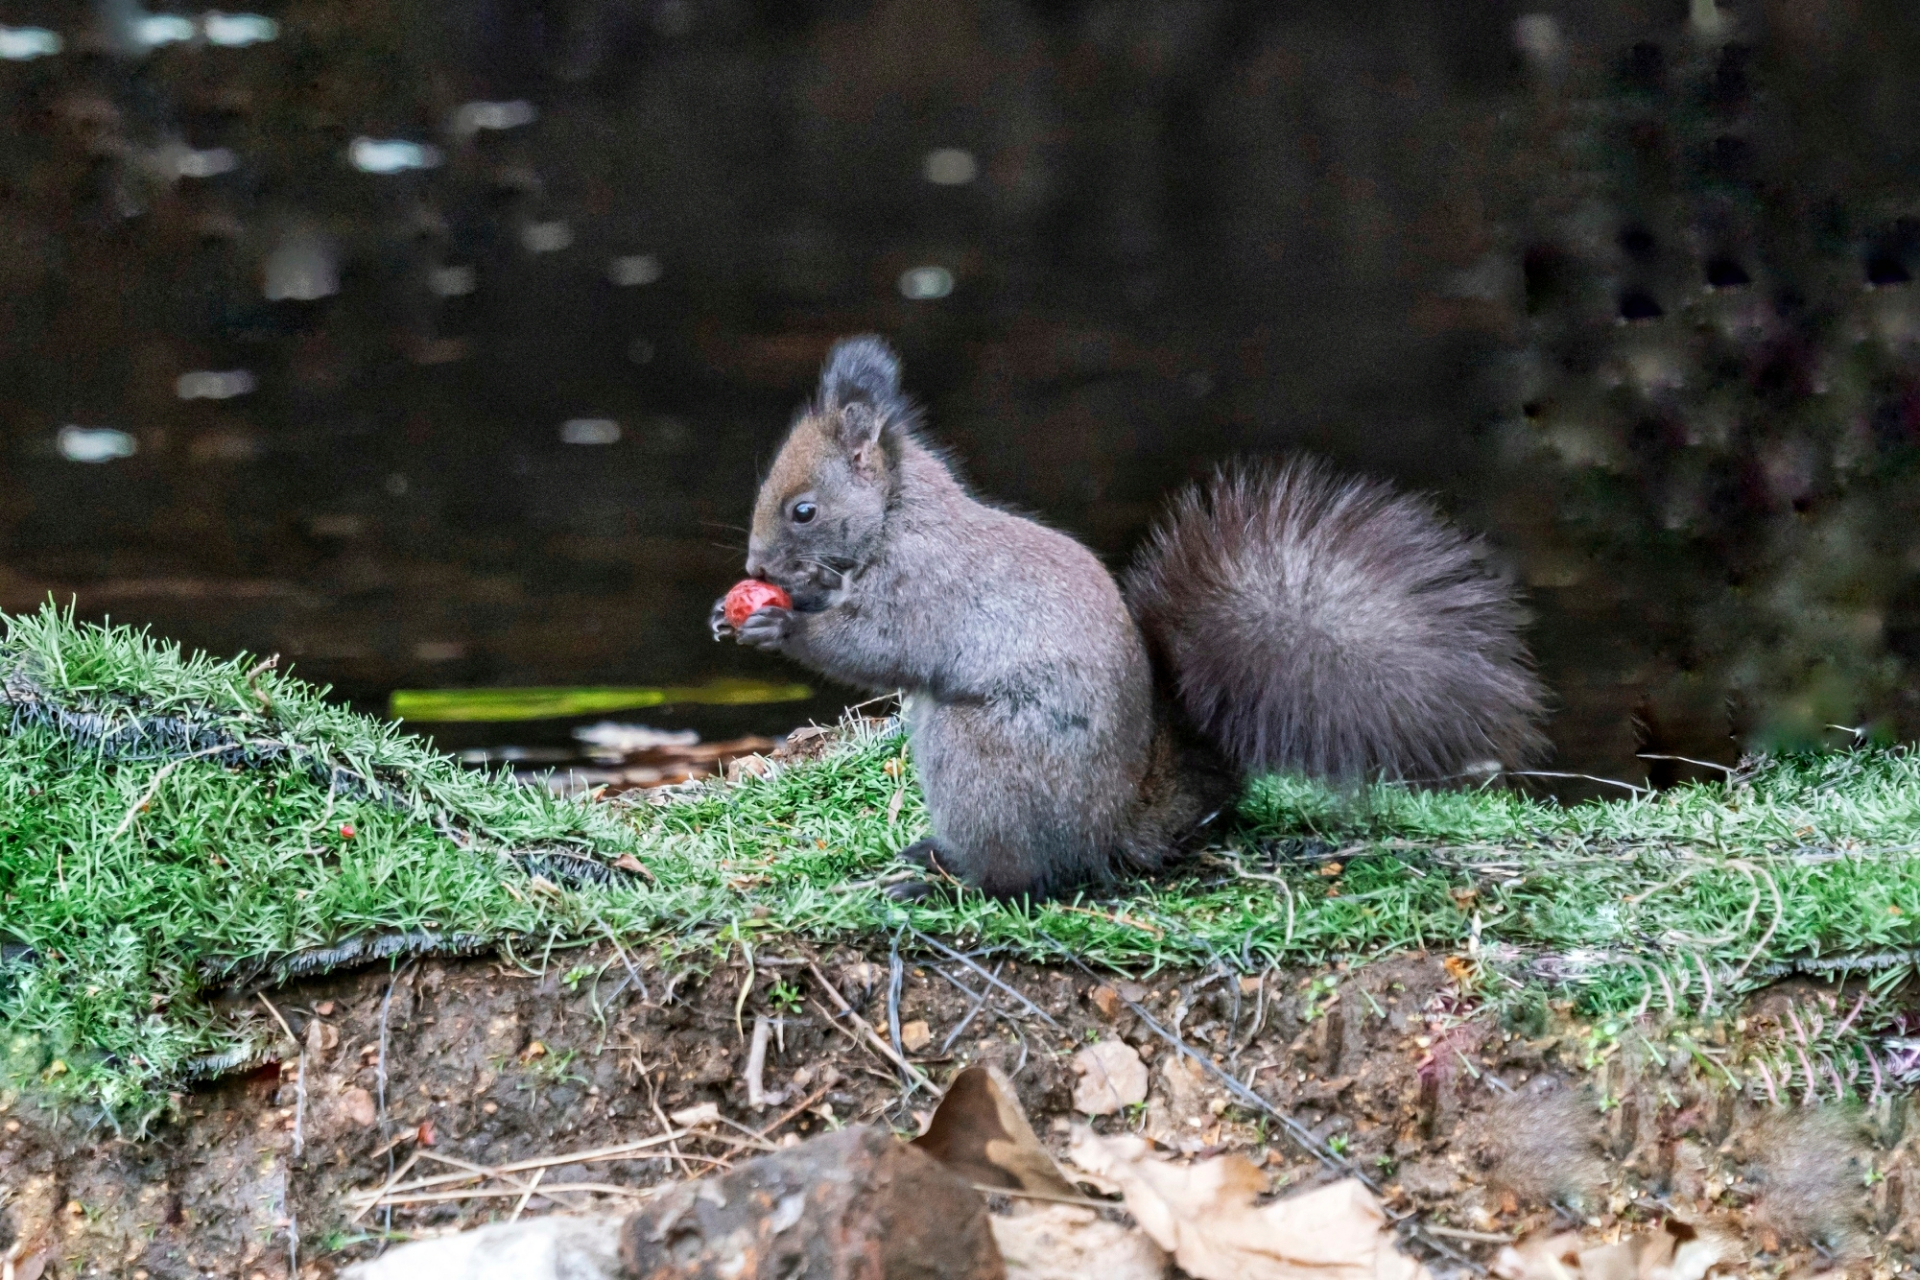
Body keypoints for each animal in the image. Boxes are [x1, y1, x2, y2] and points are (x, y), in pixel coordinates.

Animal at [714, 335, 1551, 905]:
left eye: (803, 509)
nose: (756, 568)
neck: (896, 516)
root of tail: (1114, 825)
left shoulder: (923, 587)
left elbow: (877, 645)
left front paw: (779, 627)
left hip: (980, 759)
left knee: (1025, 879)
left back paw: (953, 879)